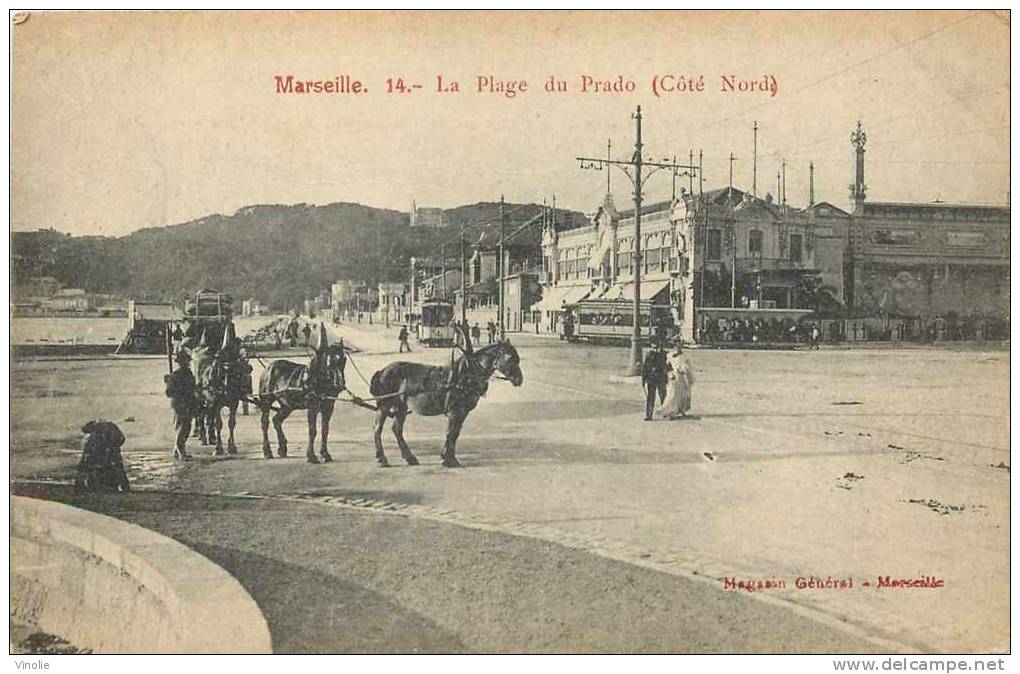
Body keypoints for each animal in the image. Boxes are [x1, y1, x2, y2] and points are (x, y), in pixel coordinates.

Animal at [257, 324, 348, 462]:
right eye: (329, 361)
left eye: (344, 360)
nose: (340, 384)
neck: (319, 377)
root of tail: (268, 368)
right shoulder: (312, 406)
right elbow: (312, 430)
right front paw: (311, 456)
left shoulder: (329, 407)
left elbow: (325, 430)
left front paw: (325, 454)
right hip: (266, 400)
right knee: (265, 423)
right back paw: (267, 451)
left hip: (288, 405)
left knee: (277, 420)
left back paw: (282, 448)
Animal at [369, 326, 526, 467]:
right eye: (510, 358)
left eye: (517, 358)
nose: (519, 380)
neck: (468, 374)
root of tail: (383, 370)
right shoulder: (455, 411)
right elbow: (451, 433)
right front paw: (448, 459)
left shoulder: (463, 412)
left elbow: (455, 433)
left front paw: (449, 457)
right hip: (384, 405)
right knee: (378, 428)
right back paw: (382, 458)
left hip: (401, 407)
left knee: (397, 429)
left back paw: (410, 458)